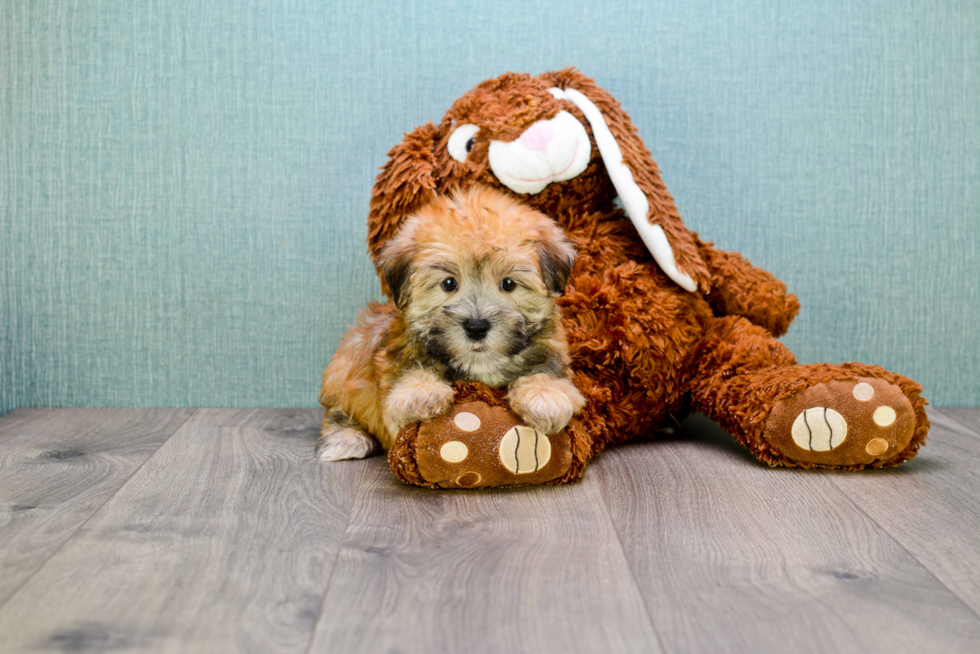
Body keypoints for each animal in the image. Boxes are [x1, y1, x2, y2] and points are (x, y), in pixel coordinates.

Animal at [318, 184, 584, 462]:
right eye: (448, 283)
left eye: (508, 284)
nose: (477, 327)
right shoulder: (395, 356)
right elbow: (406, 373)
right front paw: (420, 391)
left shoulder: (549, 349)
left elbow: (546, 370)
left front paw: (545, 396)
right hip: (344, 370)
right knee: (338, 410)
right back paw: (347, 438)